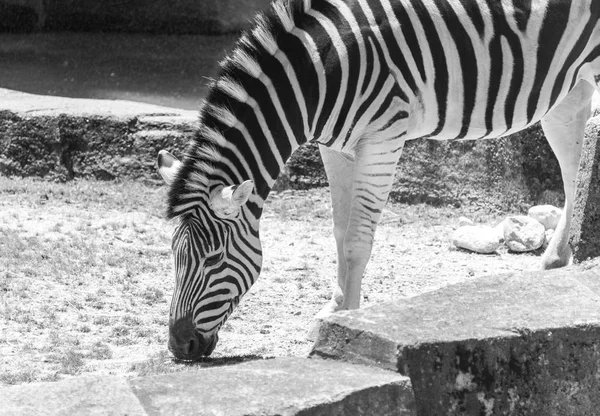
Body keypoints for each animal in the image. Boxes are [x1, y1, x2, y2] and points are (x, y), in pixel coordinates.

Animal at [157, 0, 600, 360]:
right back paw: (556, 259)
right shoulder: (334, 146)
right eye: (174, 255)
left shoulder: (383, 138)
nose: (179, 346)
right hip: (567, 89)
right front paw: (333, 311)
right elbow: (339, 233)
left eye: (214, 259)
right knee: (574, 171)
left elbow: (356, 242)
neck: (319, 71)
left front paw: (344, 321)